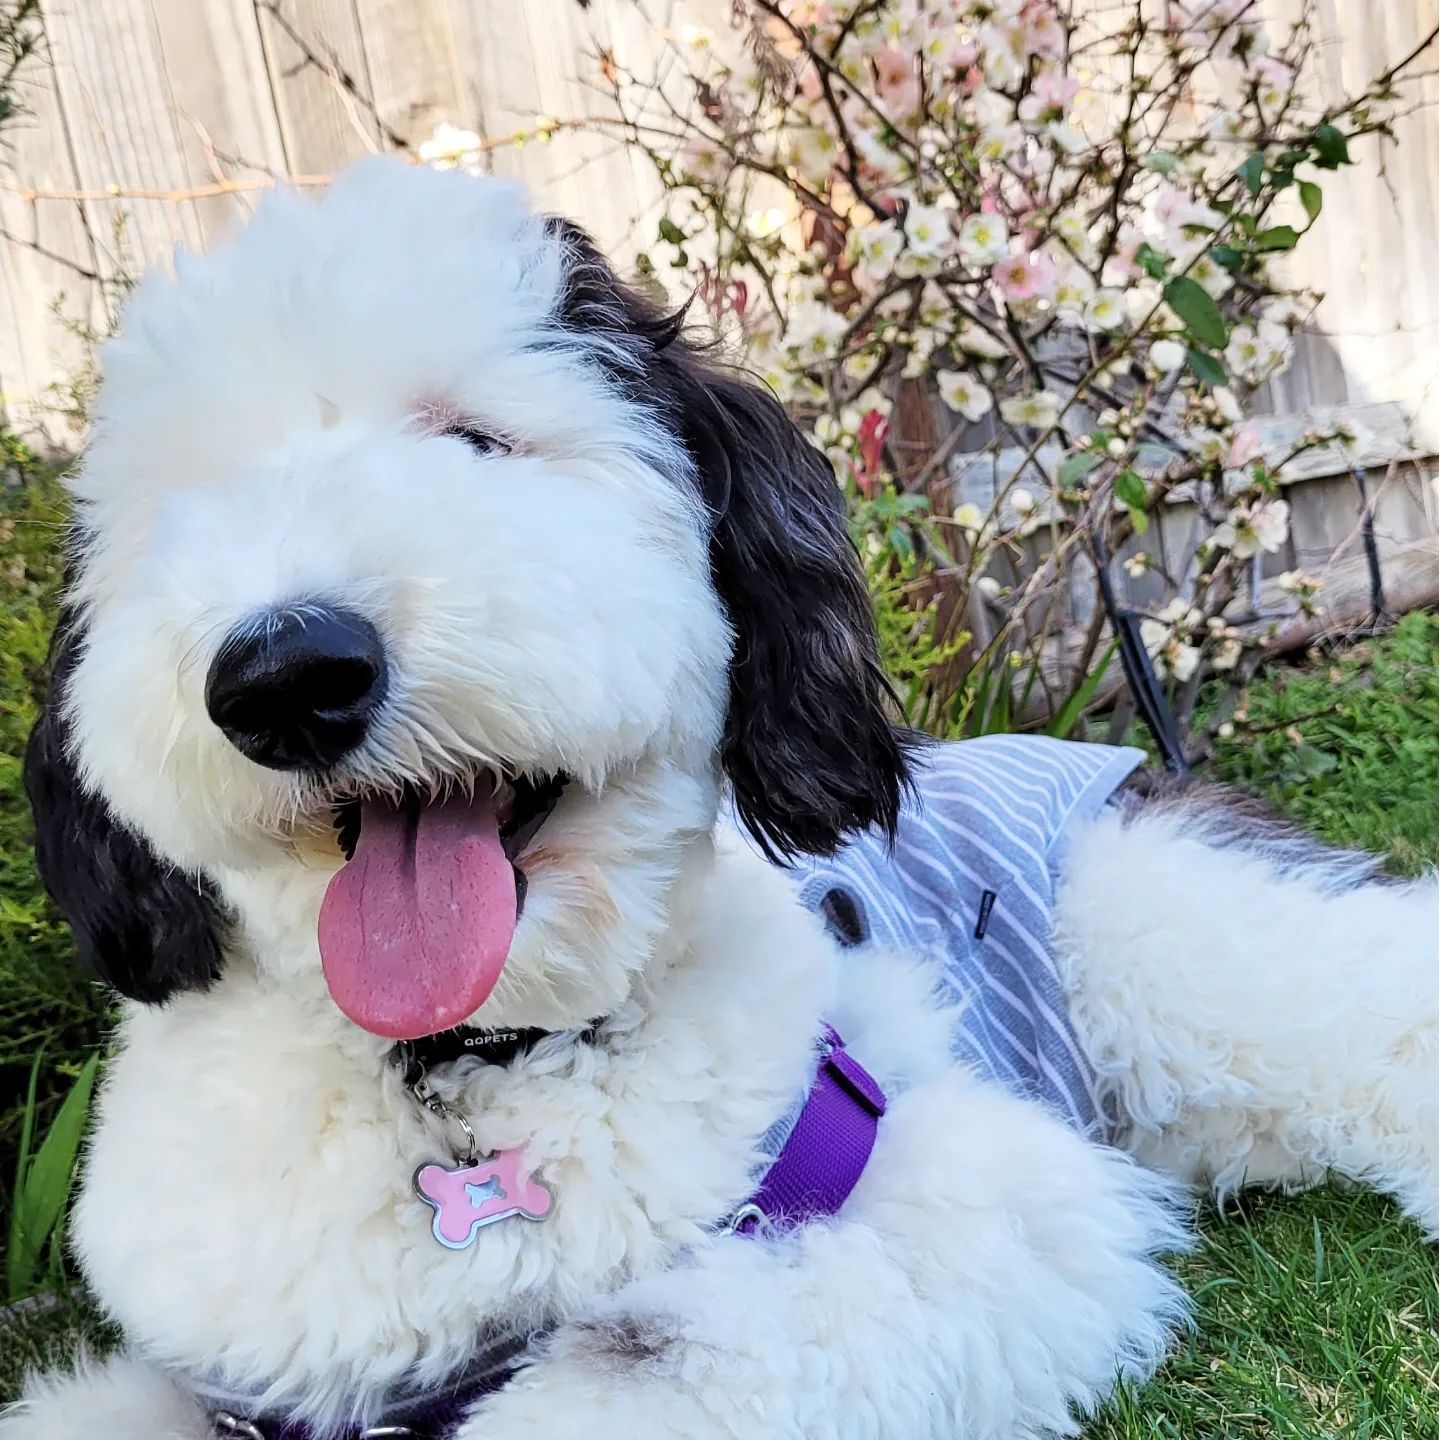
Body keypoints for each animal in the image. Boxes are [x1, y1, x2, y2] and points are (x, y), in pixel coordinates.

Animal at [5, 160, 1434, 1440]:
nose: (287, 674)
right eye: (183, 513)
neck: (480, 1078)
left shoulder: (954, 1199)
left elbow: (651, 1363)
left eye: (476, 441)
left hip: (1178, 944)